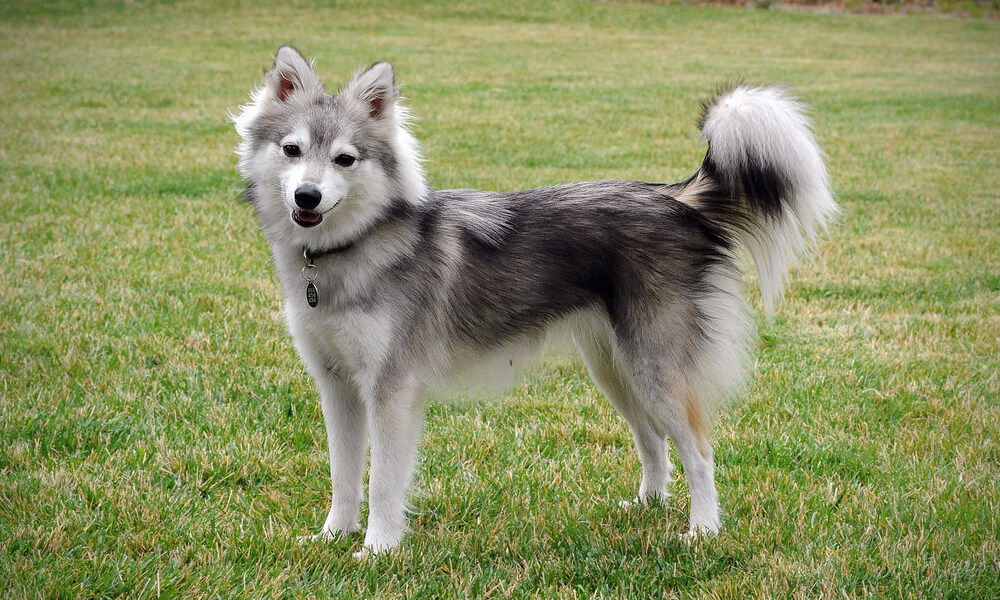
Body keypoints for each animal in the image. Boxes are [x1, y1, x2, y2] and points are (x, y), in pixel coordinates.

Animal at [234, 47, 836, 556]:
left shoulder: (391, 390)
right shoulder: (336, 386)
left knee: (700, 451)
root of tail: (675, 199)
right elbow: (343, 476)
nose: (306, 196)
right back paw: (646, 505)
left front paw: (378, 549)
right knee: (653, 440)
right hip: (614, 368)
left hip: (656, 365)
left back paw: (702, 531)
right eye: (291, 150)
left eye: (345, 159)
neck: (347, 251)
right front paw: (333, 537)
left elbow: (382, 481)